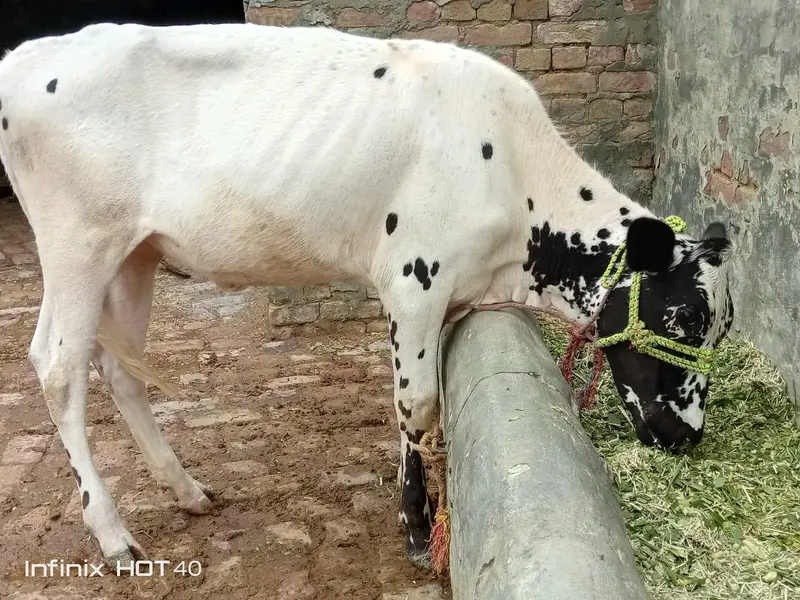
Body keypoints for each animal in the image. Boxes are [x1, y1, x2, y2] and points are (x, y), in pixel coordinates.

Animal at [0, 22, 735, 569]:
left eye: (721, 327)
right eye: (683, 315)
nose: (687, 437)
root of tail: (27, 54)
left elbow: (426, 406)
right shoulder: (413, 280)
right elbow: (416, 405)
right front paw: (415, 524)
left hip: (135, 254)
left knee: (117, 367)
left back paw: (185, 490)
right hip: (78, 241)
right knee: (58, 368)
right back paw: (113, 536)